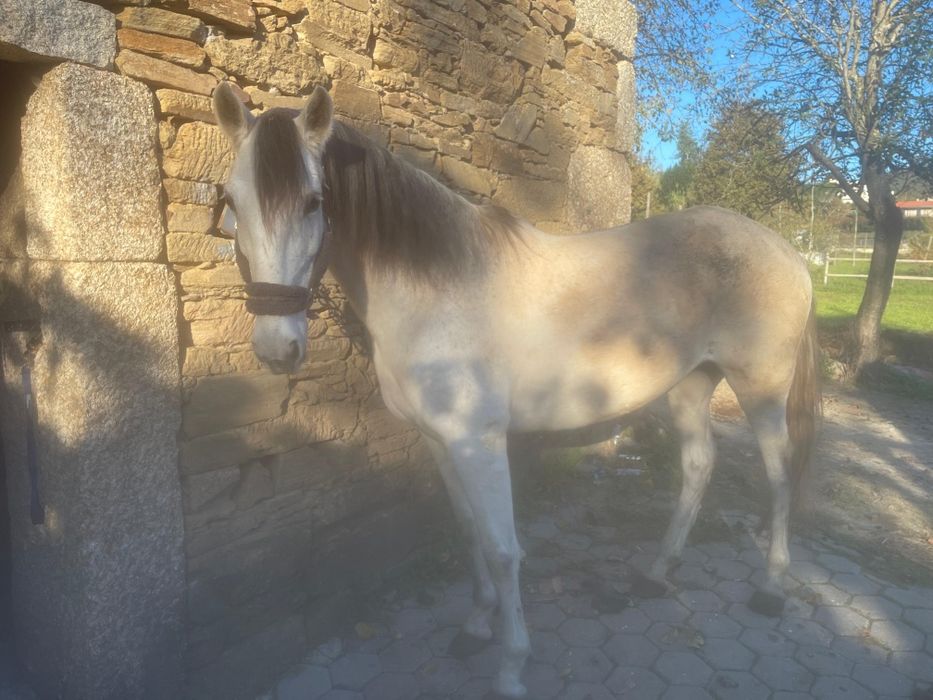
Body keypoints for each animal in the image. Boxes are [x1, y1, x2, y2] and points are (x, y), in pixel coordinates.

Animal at [211, 83, 821, 698]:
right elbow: (469, 533)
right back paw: (655, 573)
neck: (435, 290)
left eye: (314, 201)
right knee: (699, 466)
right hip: (691, 386)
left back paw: (771, 588)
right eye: (233, 202)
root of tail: (789, 253)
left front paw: (511, 666)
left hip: (760, 389)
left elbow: (504, 551)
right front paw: (476, 625)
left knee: (779, 474)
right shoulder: (440, 441)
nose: (277, 347)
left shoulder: (479, 442)